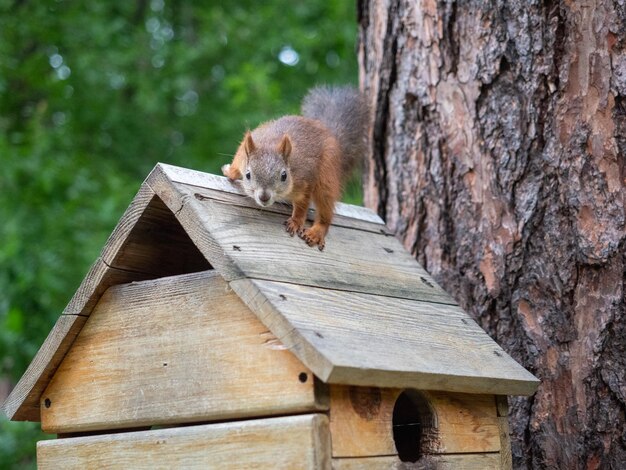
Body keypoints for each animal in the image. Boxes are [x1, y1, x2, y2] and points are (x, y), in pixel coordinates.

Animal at [221, 86, 366, 252]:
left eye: (284, 176)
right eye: (248, 175)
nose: (264, 197)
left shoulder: (305, 180)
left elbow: (302, 205)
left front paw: (296, 222)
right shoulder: (242, 156)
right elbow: (236, 164)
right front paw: (229, 171)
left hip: (327, 176)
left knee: (325, 210)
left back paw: (316, 232)